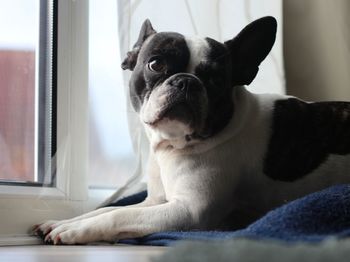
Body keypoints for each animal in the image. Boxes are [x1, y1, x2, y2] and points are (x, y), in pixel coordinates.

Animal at [34, 17, 350, 245]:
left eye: (216, 79)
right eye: (155, 64)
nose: (186, 81)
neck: (173, 145)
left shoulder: (188, 210)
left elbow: (117, 218)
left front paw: (74, 231)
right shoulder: (155, 201)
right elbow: (111, 209)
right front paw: (65, 222)